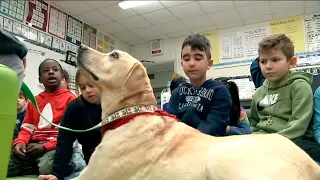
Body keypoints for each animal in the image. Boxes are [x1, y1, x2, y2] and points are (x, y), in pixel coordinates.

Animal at [74, 44, 320, 180]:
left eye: (114, 55)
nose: (80, 47)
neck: (132, 112)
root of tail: (312, 166)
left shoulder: (91, 176)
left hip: (220, 155)